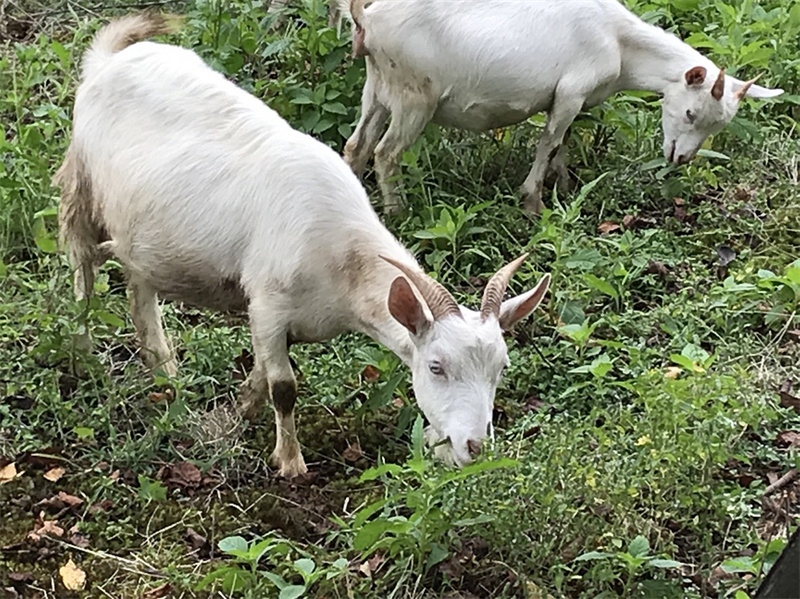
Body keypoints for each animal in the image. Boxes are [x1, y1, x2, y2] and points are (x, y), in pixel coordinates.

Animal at [56, 15, 552, 478]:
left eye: (501, 368)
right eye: (435, 366)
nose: (474, 447)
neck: (341, 257)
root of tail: (106, 61)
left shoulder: (274, 319)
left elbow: (261, 374)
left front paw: (237, 411)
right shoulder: (267, 304)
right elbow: (284, 387)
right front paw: (290, 462)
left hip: (140, 229)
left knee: (138, 285)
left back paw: (164, 367)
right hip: (81, 185)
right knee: (82, 264)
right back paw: (82, 353)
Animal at [344, 0, 780, 214]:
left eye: (716, 127)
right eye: (691, 113)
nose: (682, 158)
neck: (618, 39)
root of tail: (367, 19)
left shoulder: (572, 99)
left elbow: (563, 141)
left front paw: (567, 188)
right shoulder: (571, 92)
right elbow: (550, 142)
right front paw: (534, 203)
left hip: (377, 89)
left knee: (357, 145)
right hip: (414, 98)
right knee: (386, 153)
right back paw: (399, 212)